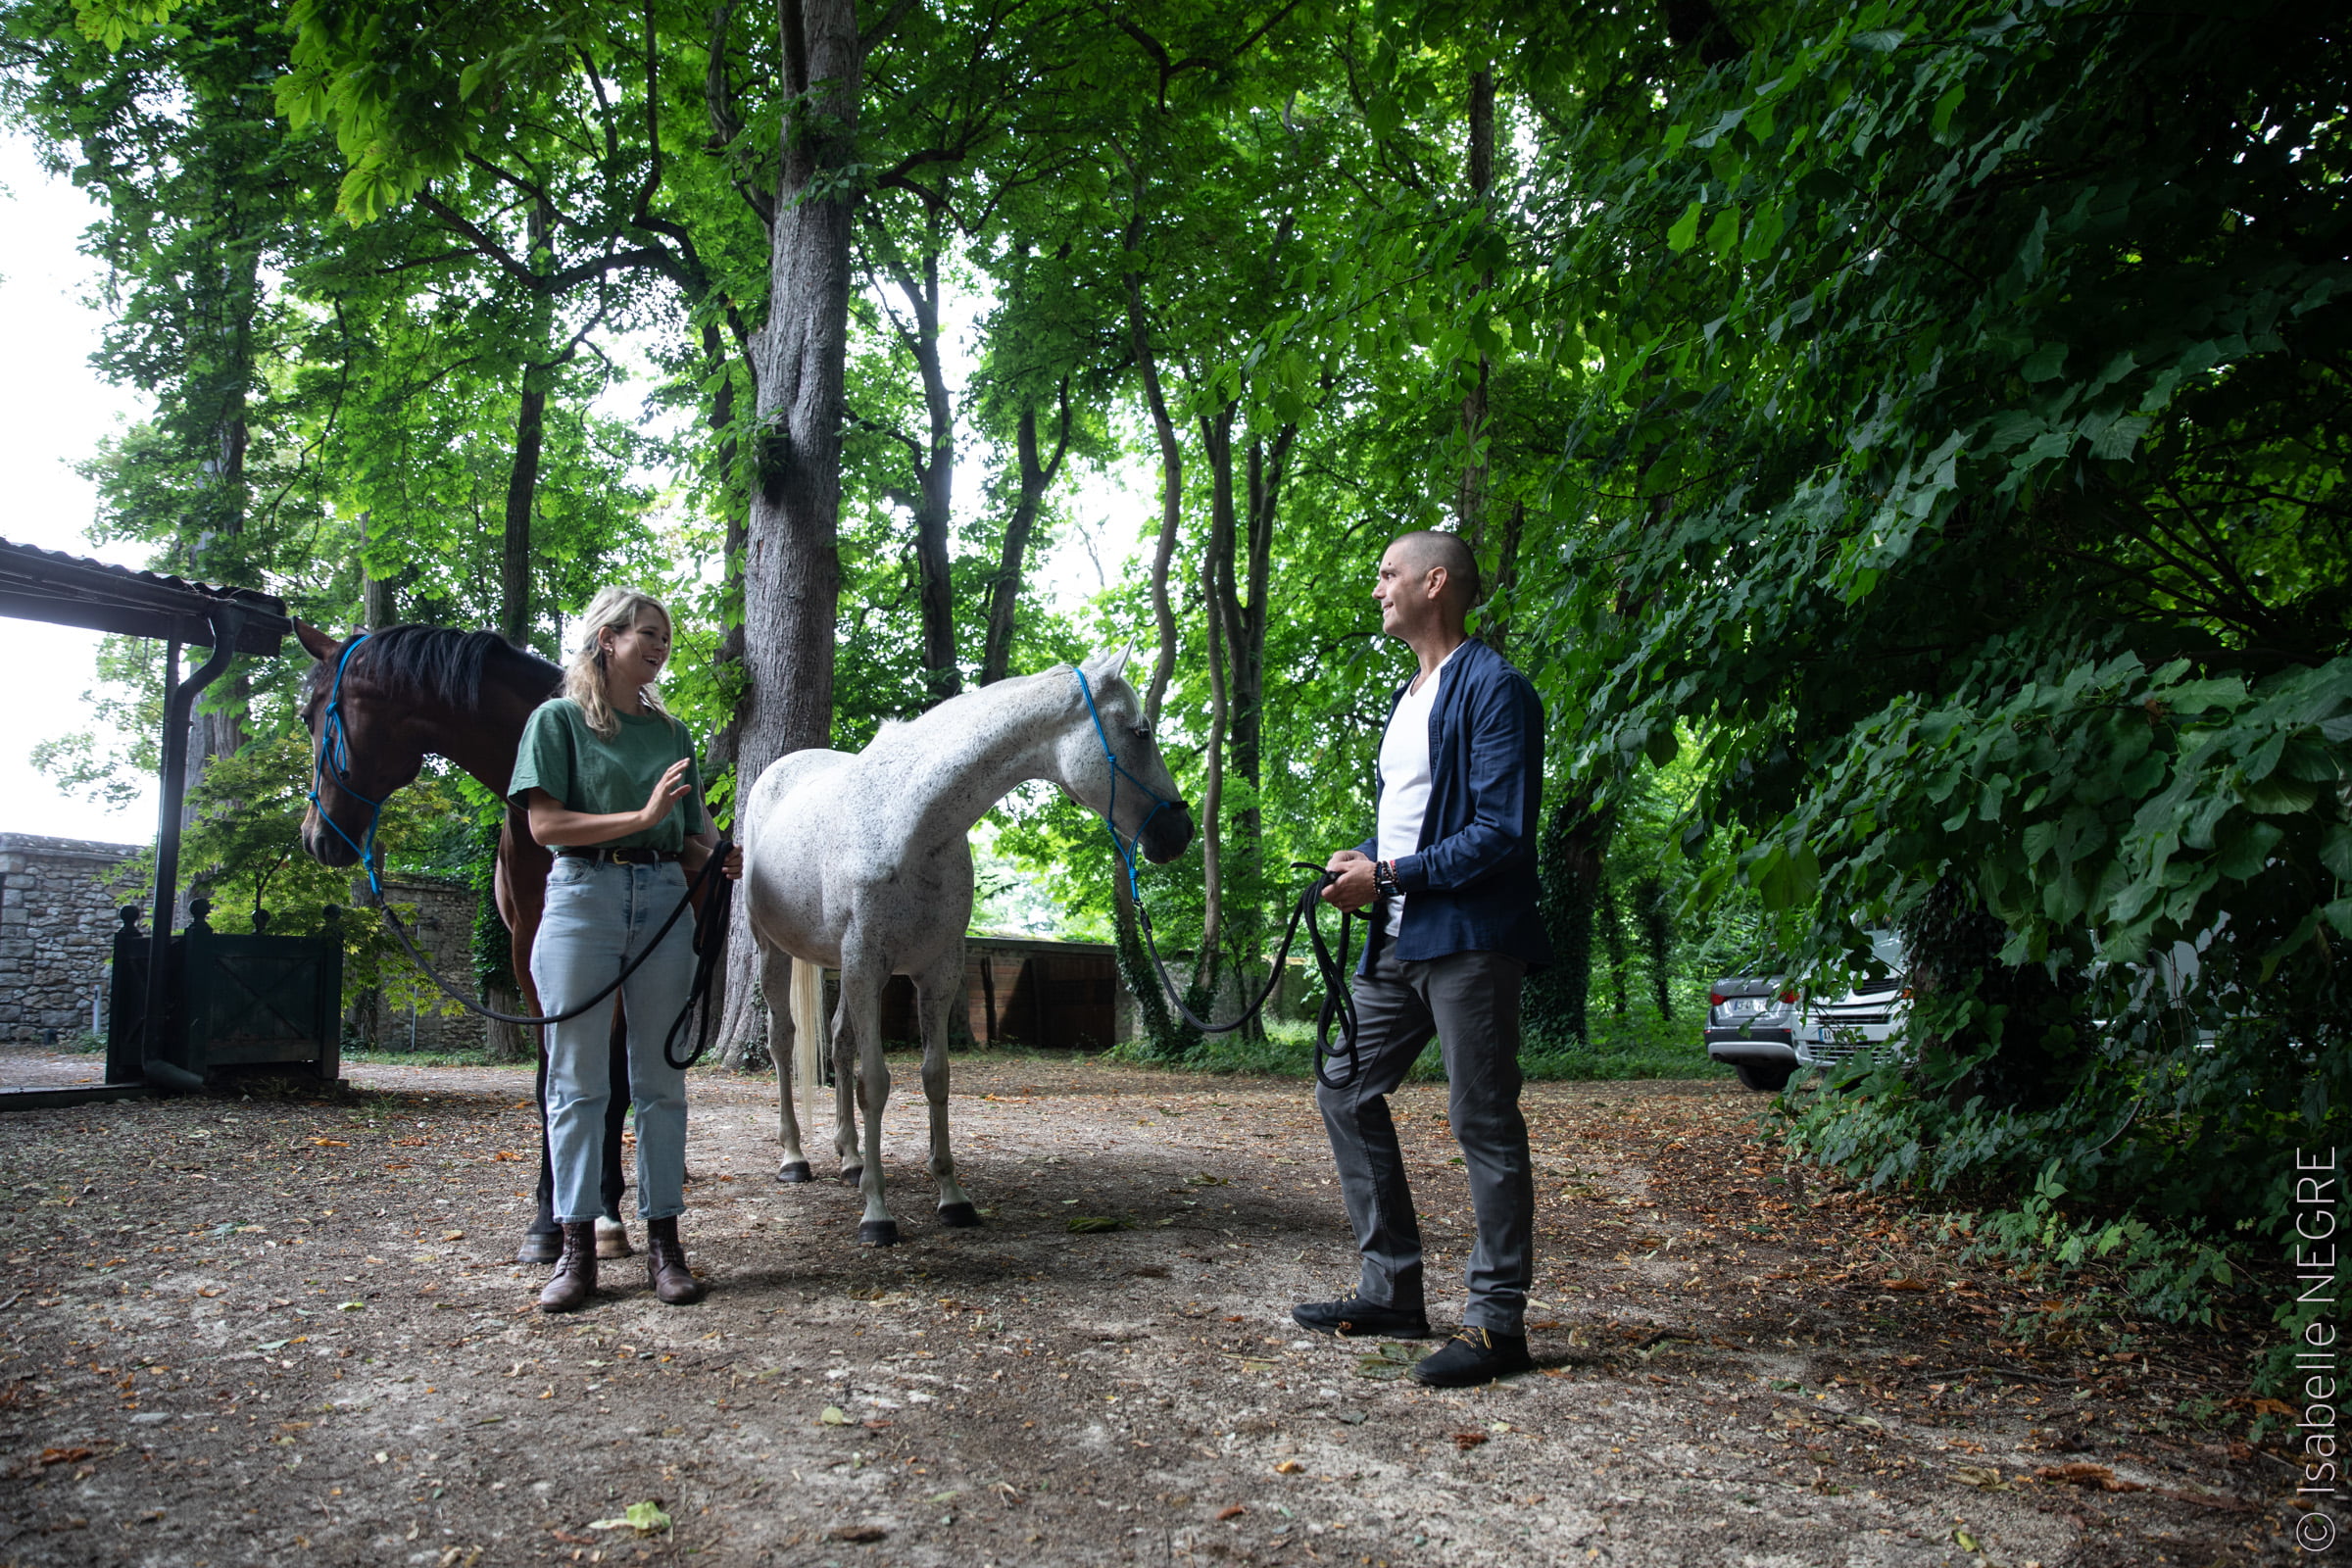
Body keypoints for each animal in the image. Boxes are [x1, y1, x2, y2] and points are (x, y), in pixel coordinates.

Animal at [294, 620, 644, 1269]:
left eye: (309, 716)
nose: (315, 838)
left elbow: (608, 1087)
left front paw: (602, 1213)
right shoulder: (533, 954)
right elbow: (552, 1082)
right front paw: (548, 1222)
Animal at [743, 649, 1195, 1241]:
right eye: (1140, 731)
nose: (1181, 831)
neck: (909, 822)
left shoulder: (937, 970)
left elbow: (935, 1078)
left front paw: (952, 1197)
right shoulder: (867, 966)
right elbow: (877, 1084)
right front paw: (877, 1213)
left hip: (842, 971)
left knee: (838, 1044)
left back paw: (851, 1158)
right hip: (775, 954)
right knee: (783, 1042)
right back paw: (795, 1158)